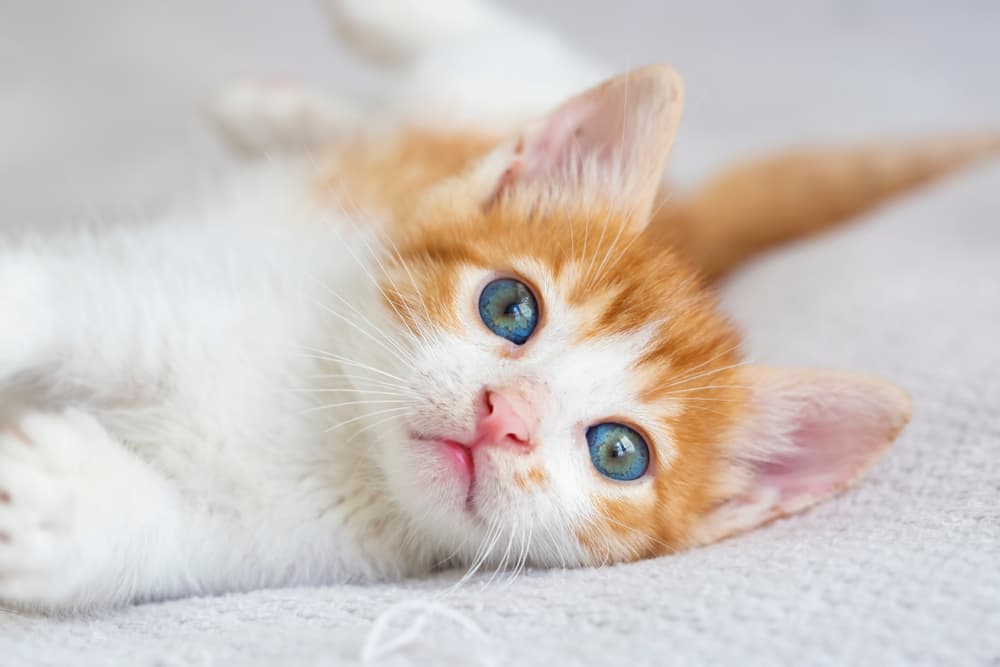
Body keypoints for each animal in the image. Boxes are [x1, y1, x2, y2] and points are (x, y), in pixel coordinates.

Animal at [0, 1, 992, 616]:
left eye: (619, 451)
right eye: (511, 306)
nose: (503, 416)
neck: (335, 426)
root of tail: (686, 215)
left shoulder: (296, 540)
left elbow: (181, 540)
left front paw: (66, 509)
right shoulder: (165, 287)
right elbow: (60, 299)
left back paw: (271, 110)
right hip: (493, 103)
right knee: (519, 58)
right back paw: (351, 42)